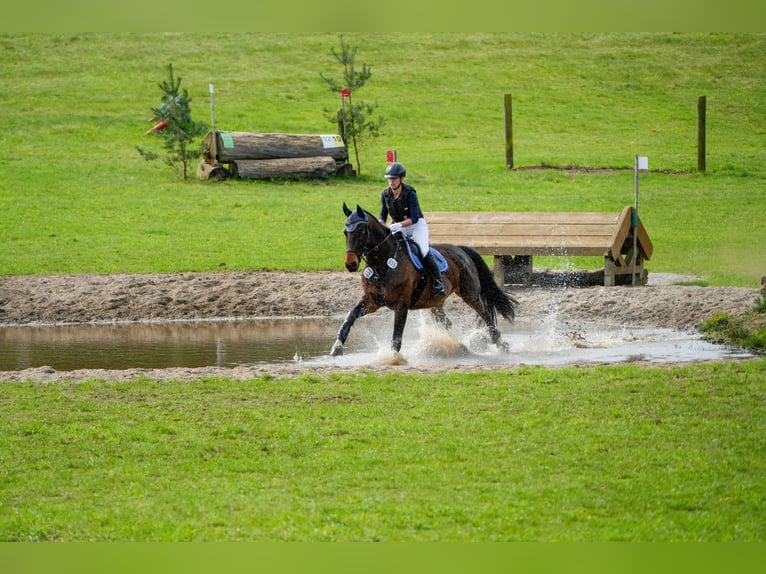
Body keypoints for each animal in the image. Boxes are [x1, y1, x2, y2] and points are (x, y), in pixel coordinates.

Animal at [329, 204, 519, 357]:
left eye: (361, 231)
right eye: (345, 232)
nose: (351, 264)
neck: (382, 264)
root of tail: (460, 249)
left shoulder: (401, 305)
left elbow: (397, 336)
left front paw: (393, 358)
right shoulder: (371, 301)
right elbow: (350, 317)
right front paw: (336, 348)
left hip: (469, 293)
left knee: (485, 313)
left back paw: (501, 344)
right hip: (434, 303)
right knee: (447, 322)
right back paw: (457, 345)